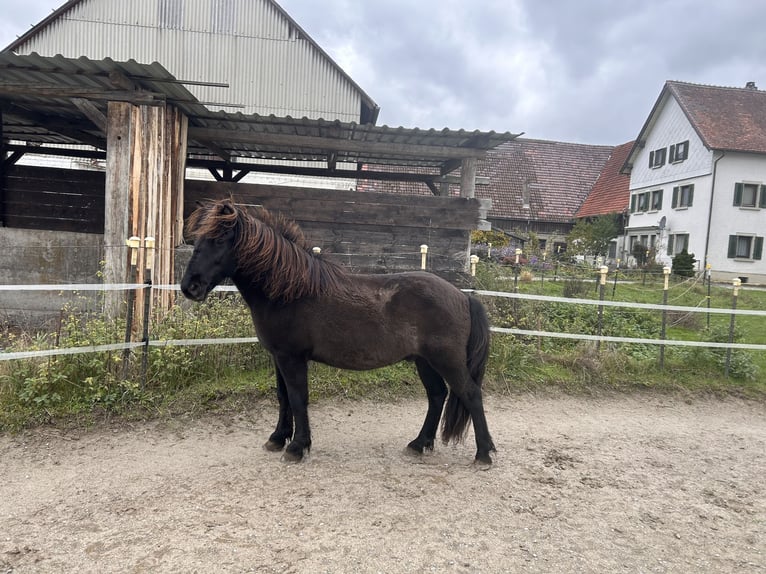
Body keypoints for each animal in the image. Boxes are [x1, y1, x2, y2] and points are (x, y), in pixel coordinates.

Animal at [180, 199, 496, 465]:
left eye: (219, 239)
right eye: (197, 240)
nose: (189, 287)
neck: (289, 291)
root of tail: (462, 296)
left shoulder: (292, 358)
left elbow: (298, 398)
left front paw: (297, 447)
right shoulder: (278, 357)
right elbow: (283, 397)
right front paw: (278, 439)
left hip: (446, 360)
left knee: (470, 393)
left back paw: (483, 453)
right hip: (424, 361)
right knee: (437, 396)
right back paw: (419, 444)